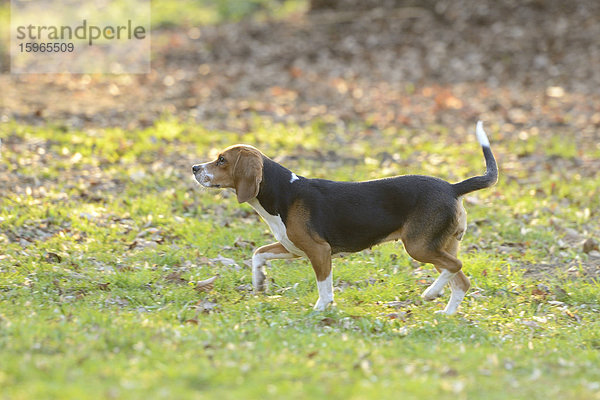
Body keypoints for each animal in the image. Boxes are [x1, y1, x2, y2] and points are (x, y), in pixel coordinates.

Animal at [192, 122, 496, 316]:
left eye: (221, 160)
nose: (194, 168)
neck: (283, 192)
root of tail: (452, 187)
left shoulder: (319, 251)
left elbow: (324, 287)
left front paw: (320, 310)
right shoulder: (292, 248)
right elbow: (258, 254)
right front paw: (260, 283)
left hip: (418, 246)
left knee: (455, 266)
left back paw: (431, 293)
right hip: (439, 245)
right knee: (461, 280)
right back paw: (447, 313)